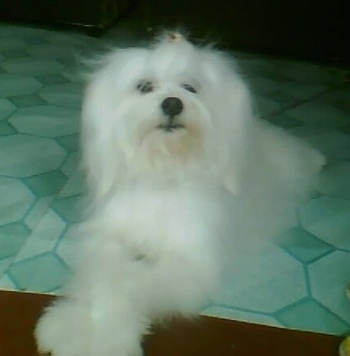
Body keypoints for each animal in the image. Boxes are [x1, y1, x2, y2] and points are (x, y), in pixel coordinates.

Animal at [35, 32, 326, 354]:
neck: (164, 170)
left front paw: (108, 337)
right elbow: (104, 277)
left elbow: (129, 283)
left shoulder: (185, 261)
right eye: (145, 86)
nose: (173, 104)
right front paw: (71, 326)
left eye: (191, 87)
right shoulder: (108, 238)